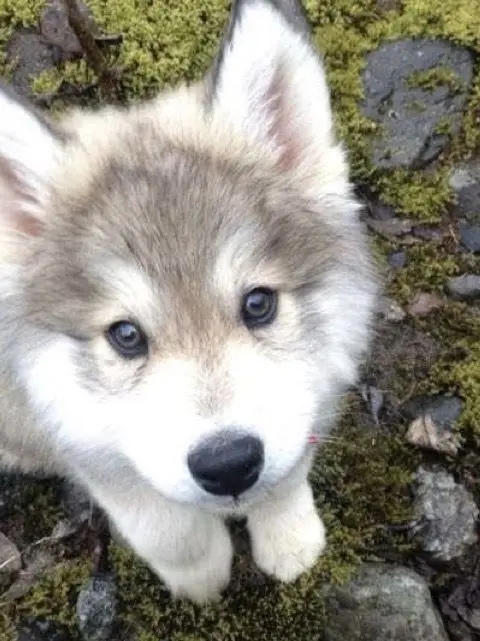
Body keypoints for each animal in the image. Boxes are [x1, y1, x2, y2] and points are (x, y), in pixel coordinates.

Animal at [0, 0, 378, 603]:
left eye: (258, 303)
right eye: (126, 335)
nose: (228, 464)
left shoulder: (310, 391)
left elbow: (289, 469)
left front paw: (289, 538)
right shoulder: (80, 434)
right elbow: (166, 526)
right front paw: (201, 577)